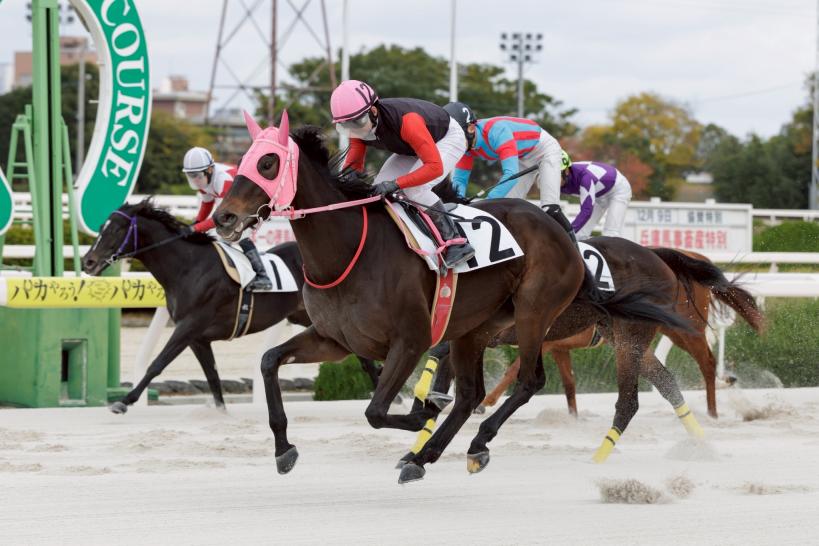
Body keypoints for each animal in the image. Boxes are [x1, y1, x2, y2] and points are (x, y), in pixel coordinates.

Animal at [81, 200, 380, 413]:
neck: (188, 267)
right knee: (363, 358)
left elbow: (157, 364)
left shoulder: (188, 327)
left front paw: (125, 401)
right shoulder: (197, 338)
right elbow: (212, 376)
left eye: (116, 229)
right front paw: (221, 412)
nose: (88, 262)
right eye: (101, 227)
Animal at [210, 114, 691, 483]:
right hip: (474, 329)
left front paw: (422, 411)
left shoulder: (410, 340)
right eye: (244, 160)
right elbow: (269, 361)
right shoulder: (335, 340)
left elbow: (377, 409)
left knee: (529, 381)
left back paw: (473, 444)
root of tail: (559, 228)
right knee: (470, 394)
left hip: (534, 312)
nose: (224, 217)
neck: (349, 250)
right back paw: (422, 457)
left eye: (268, 163)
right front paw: (283, 449)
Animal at [480, 248, 765, 418]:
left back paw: (712, 412)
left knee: (707, 362)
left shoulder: (546, 340)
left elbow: (513, 369)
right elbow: (569, 384)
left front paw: (486, 401)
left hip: (687, 329)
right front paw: (573, 418)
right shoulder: (559, 346)